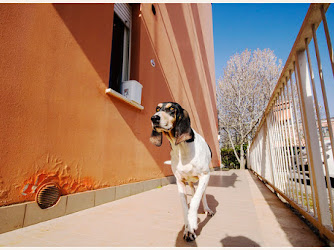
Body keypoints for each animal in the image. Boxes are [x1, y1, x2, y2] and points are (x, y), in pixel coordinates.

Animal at [149, 102, 214, 242]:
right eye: (157, 108)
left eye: (172, 109)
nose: (154, 118)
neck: (181, 148)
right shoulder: (180, 182)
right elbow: (185, 207)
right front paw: (188, 229)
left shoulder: (204, 176)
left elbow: (195, 201)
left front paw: (193, 221)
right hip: (190, 182)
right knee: (194, 192)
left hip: (205, 180)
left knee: (202, 195)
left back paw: (207, 209)